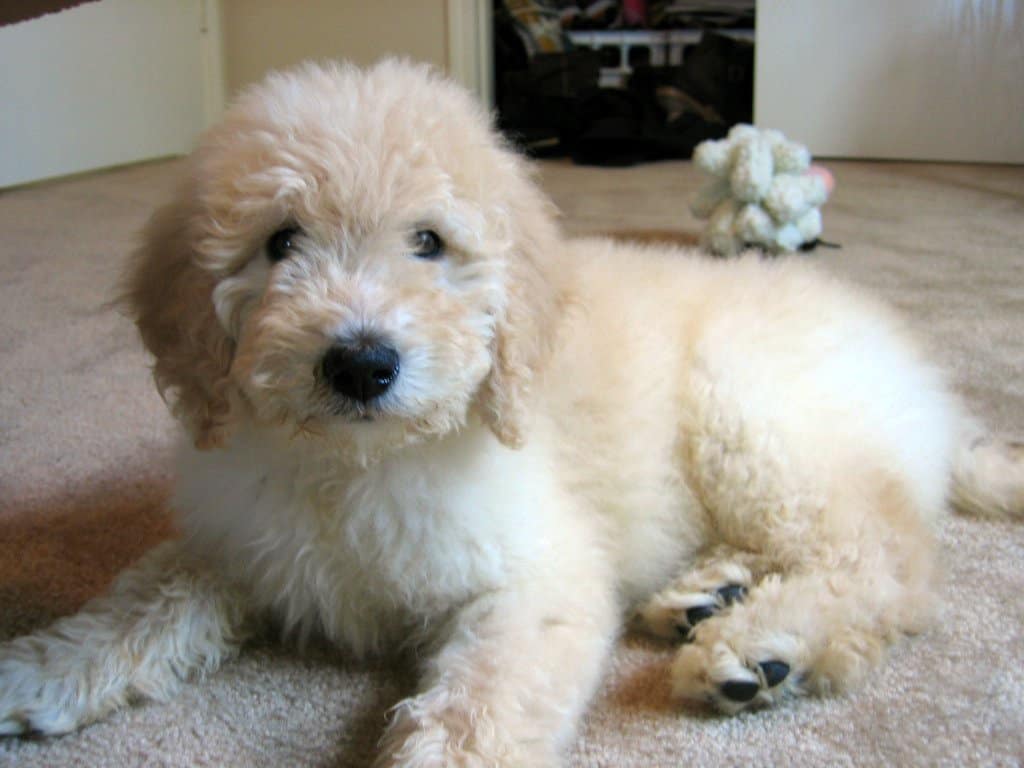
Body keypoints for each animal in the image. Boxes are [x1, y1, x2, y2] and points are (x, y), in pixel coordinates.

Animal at [2, 61, 1024, 768]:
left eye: (428, 242)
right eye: (280, 242)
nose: (362, 362)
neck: (358, 463)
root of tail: (930, 392)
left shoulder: (537, 580)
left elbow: (477, 709)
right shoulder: (239, 535)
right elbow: (146, 596)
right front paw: (41, 669)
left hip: (760, 424)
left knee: (884, 561)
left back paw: (762, 647)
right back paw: (709, 592)